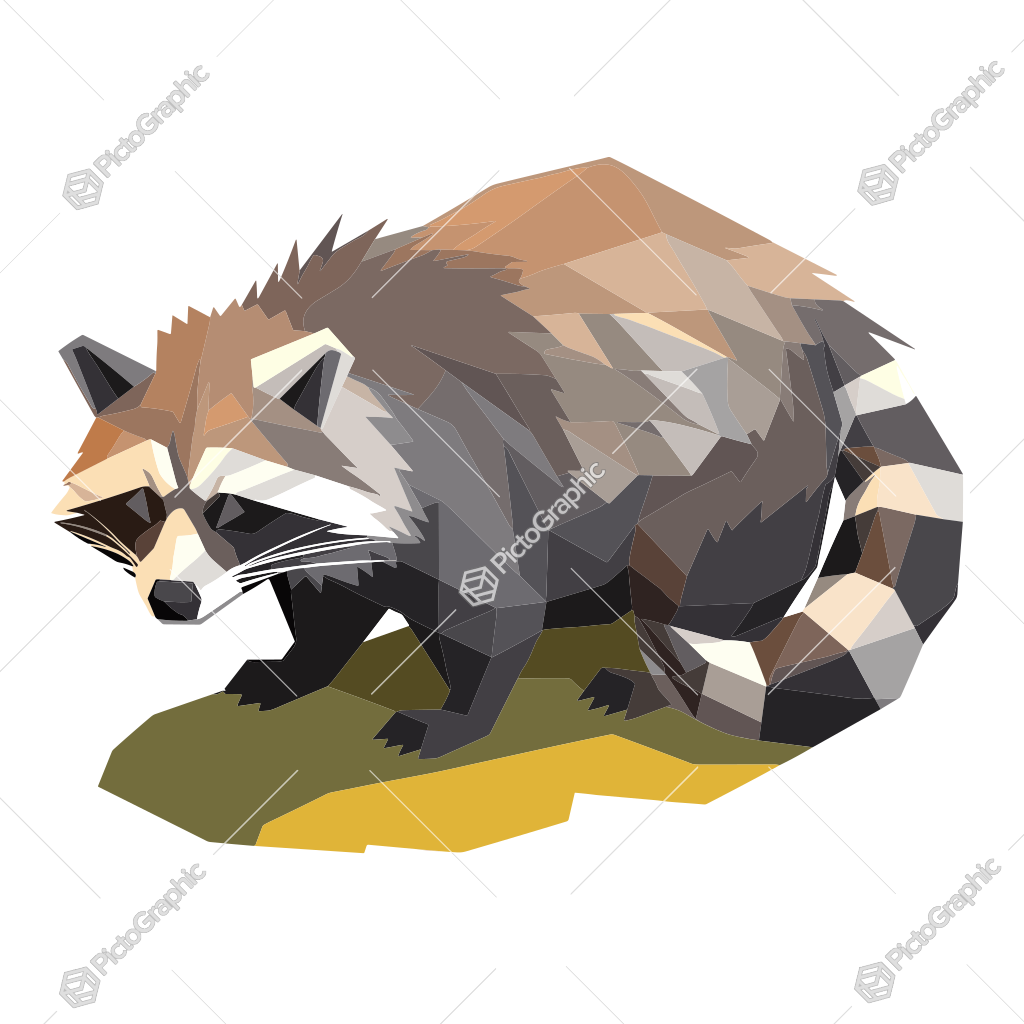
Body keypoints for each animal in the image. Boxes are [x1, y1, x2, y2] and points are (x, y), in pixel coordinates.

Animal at [53, 158, 962, 758]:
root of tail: (814, 296)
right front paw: (300, 665)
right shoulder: (333, 531)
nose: (171, 601)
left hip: (741, 449)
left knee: (697, 575)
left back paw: (656, 664)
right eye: (142, 507)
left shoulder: (460, 468)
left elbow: (493, 614)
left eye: (231, 508)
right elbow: (331, 598)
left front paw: (461, 715)